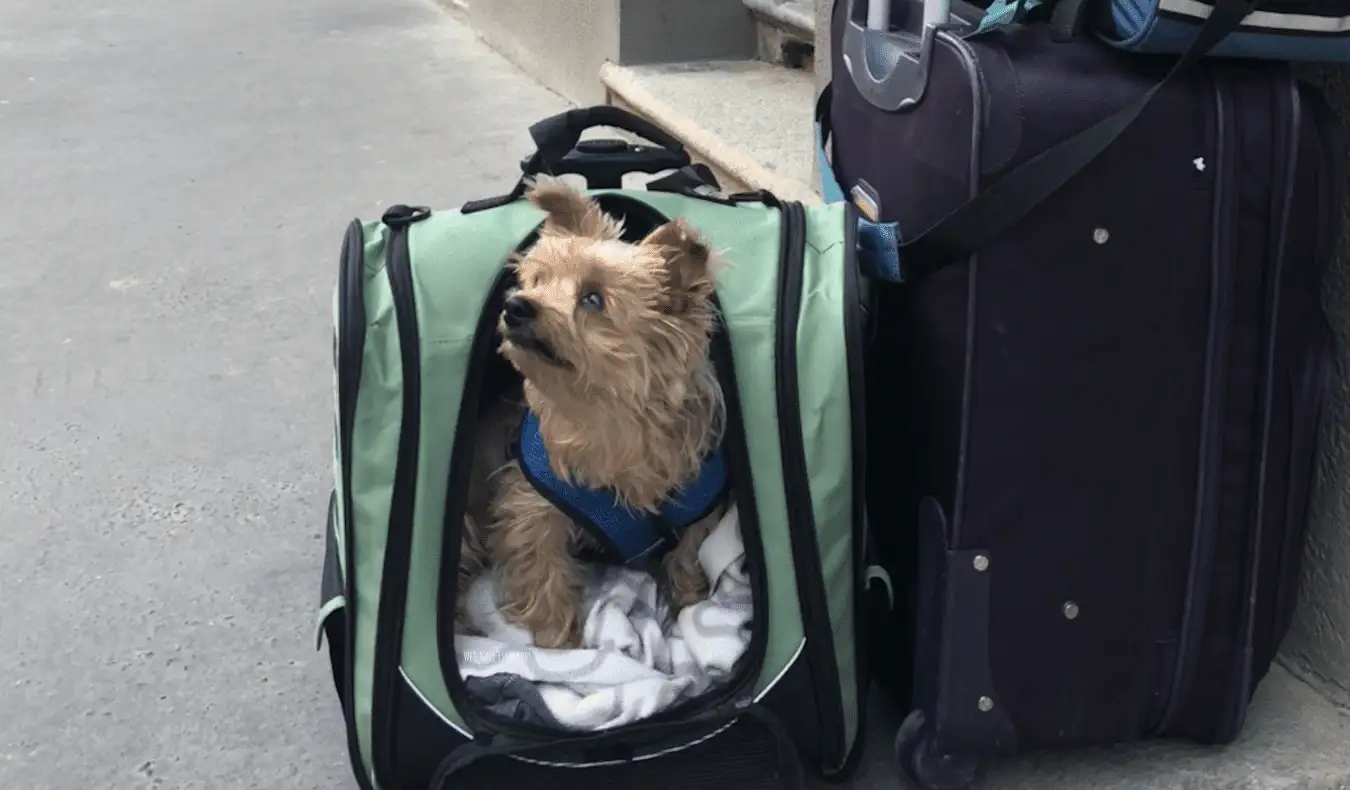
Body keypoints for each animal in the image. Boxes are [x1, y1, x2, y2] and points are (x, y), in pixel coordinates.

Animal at [464, 178, 734, 648]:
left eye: (592, 299)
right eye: (537, 281)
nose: (515, 306)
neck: (607, 412)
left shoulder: (697, 508)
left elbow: (688, 553)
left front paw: (690, 603)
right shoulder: (532, 507)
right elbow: (544, 572)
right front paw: (558, 642)